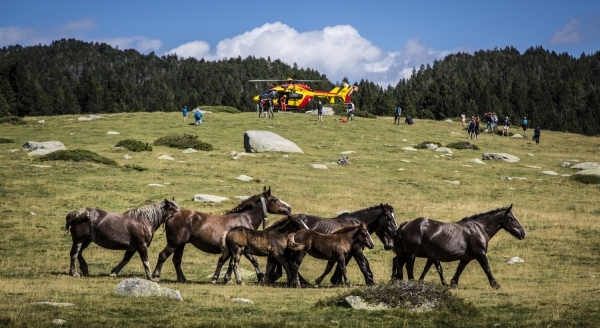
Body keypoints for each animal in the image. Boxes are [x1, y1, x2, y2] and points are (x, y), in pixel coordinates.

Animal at [150, 186, 290, 284]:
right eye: (275, 199)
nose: (289, 208)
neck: (244, 218)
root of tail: (171, 216)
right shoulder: (243, 248)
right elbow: (253, 261)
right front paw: (260, 278)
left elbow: (230, 263)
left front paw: (227, 279)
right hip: (174, 244)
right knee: (163, 256)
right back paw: (155, 277)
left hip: (181, 245)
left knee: (176, 260)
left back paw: (182, 279)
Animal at [264, 204, 396, 286]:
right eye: (389, 218)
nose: (390, 245)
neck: (355, 226)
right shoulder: (357, 250)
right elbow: (363, 265)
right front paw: (369, 280)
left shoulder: (348, 252)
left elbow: (341, 265)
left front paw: (337, 280)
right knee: (291, 263)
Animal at [396, 205, 524, 290]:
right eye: (512, 219)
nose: (523, 233)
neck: (479, 228)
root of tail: (406, 224)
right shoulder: (480, 254)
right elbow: (487, 268)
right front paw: (495, 284)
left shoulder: (466, 257)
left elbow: (459, 269)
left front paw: (453, 283)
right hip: (411, 253)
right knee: (409, 266)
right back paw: (412, 282)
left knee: (400, 264)